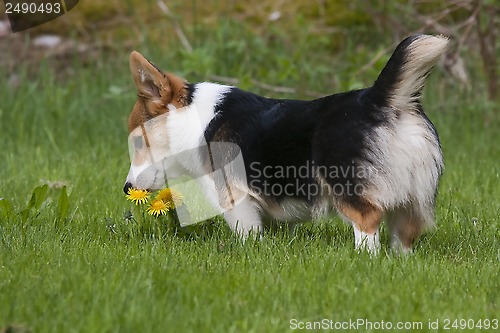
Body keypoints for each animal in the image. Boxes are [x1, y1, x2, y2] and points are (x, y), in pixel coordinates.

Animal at [124, 33, 450, 253]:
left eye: (138, 144)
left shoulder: (237, 200)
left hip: (348, 187)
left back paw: (362, 260)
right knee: (404, 236)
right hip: (414, 196)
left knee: (367, 222)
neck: (196, 121)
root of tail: (380, 100)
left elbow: (246, 233)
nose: (126, 188)